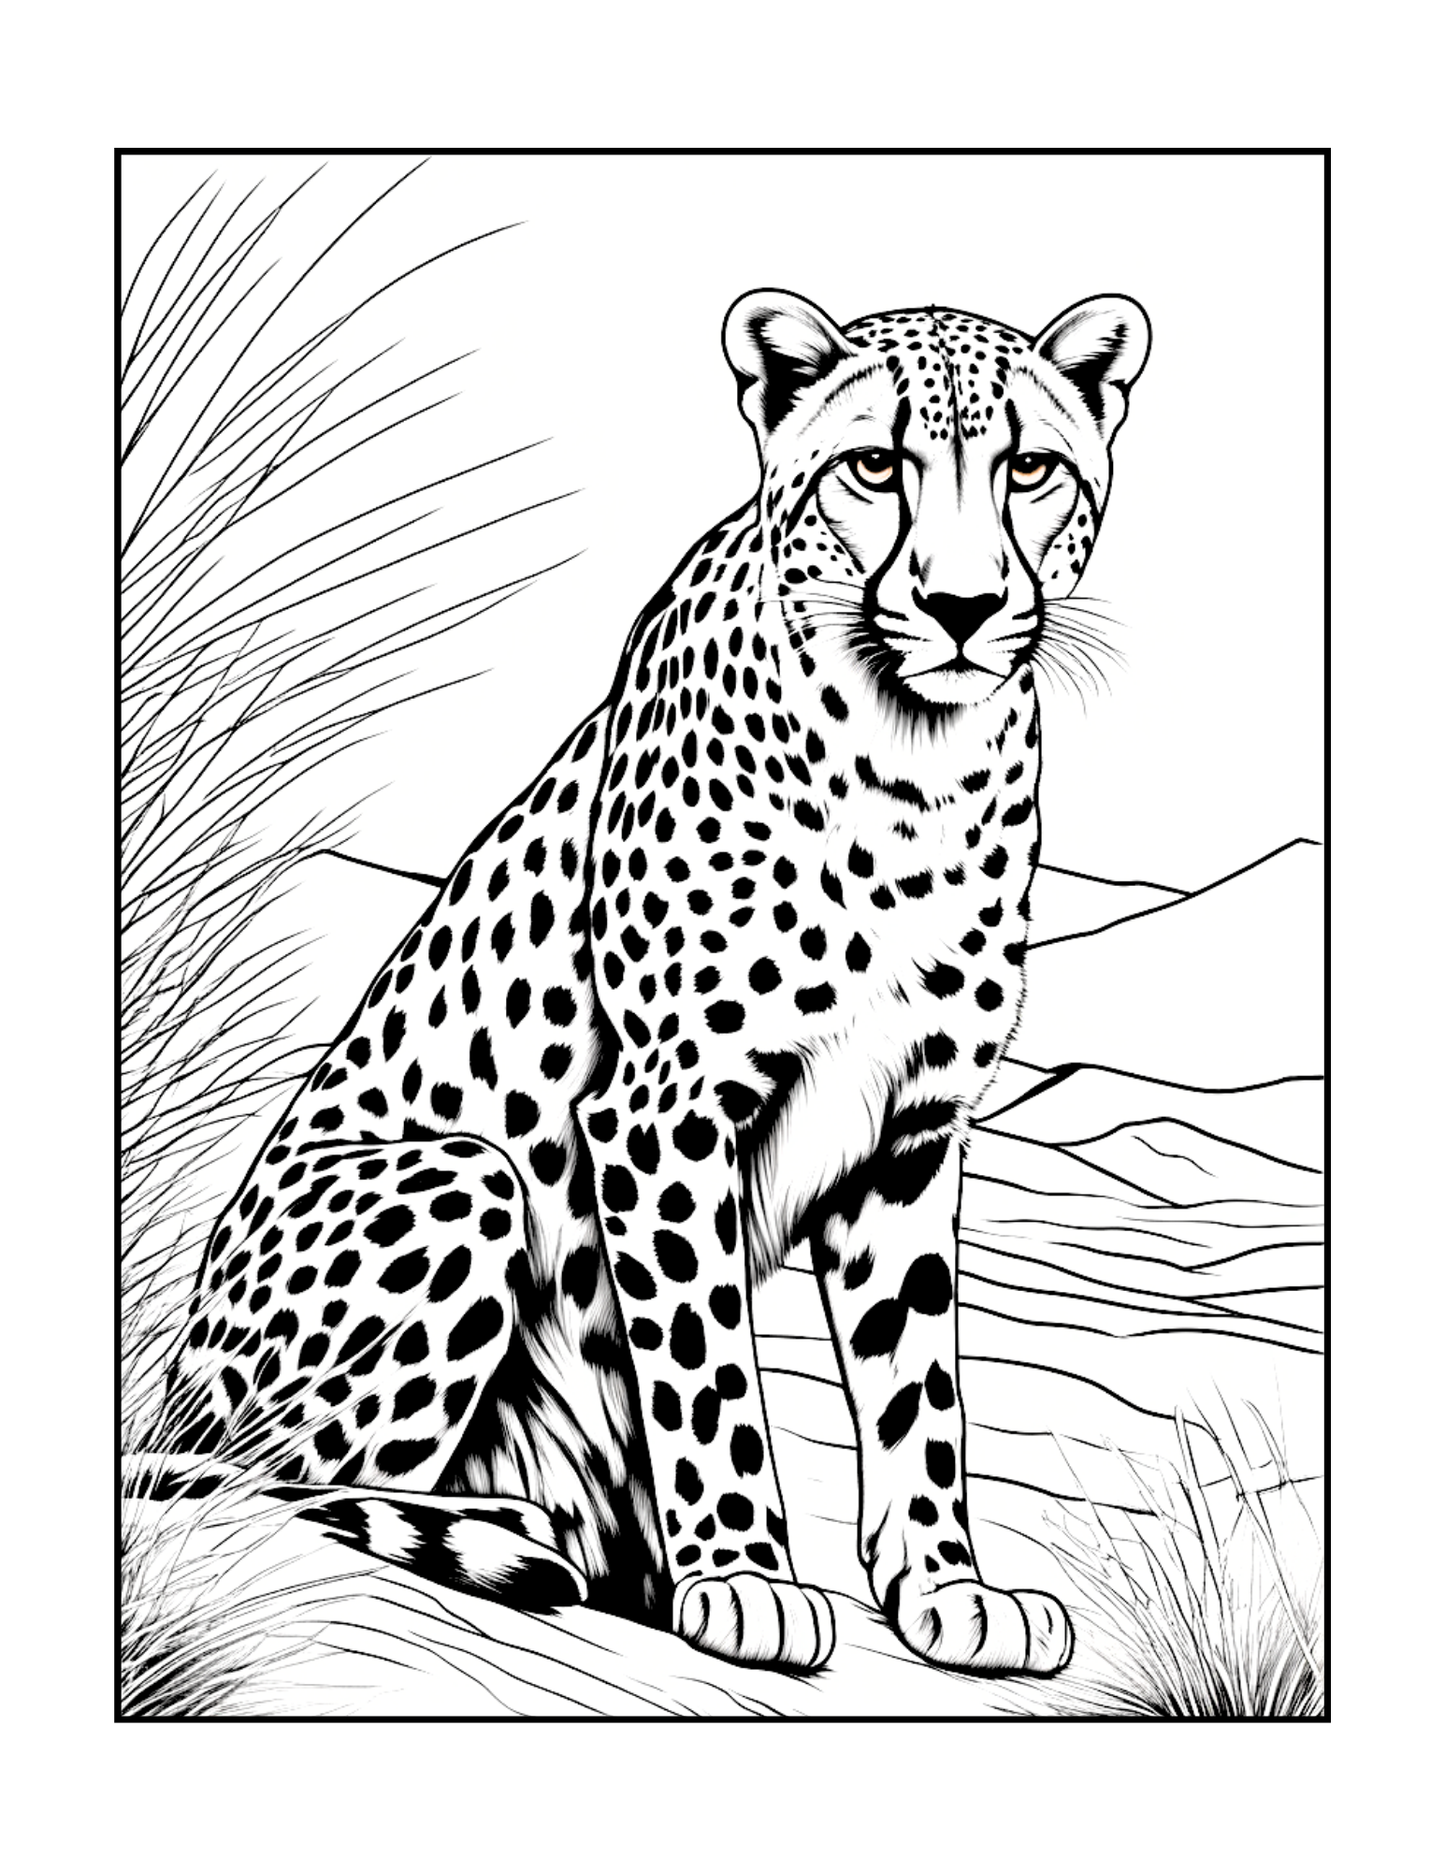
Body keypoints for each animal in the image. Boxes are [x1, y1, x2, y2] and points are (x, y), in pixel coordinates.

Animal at [161, 285, 1150, 1677]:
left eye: (1028, 470)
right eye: (873, 468)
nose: (961, 606)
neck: (912, 762)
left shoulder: (909, 1137)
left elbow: (918, 1387)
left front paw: (947, 1586)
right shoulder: (660, 1114)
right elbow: (703, 1366)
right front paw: (743, 1574)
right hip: (460, 1180)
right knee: (276, 1484)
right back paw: (512, 1530)